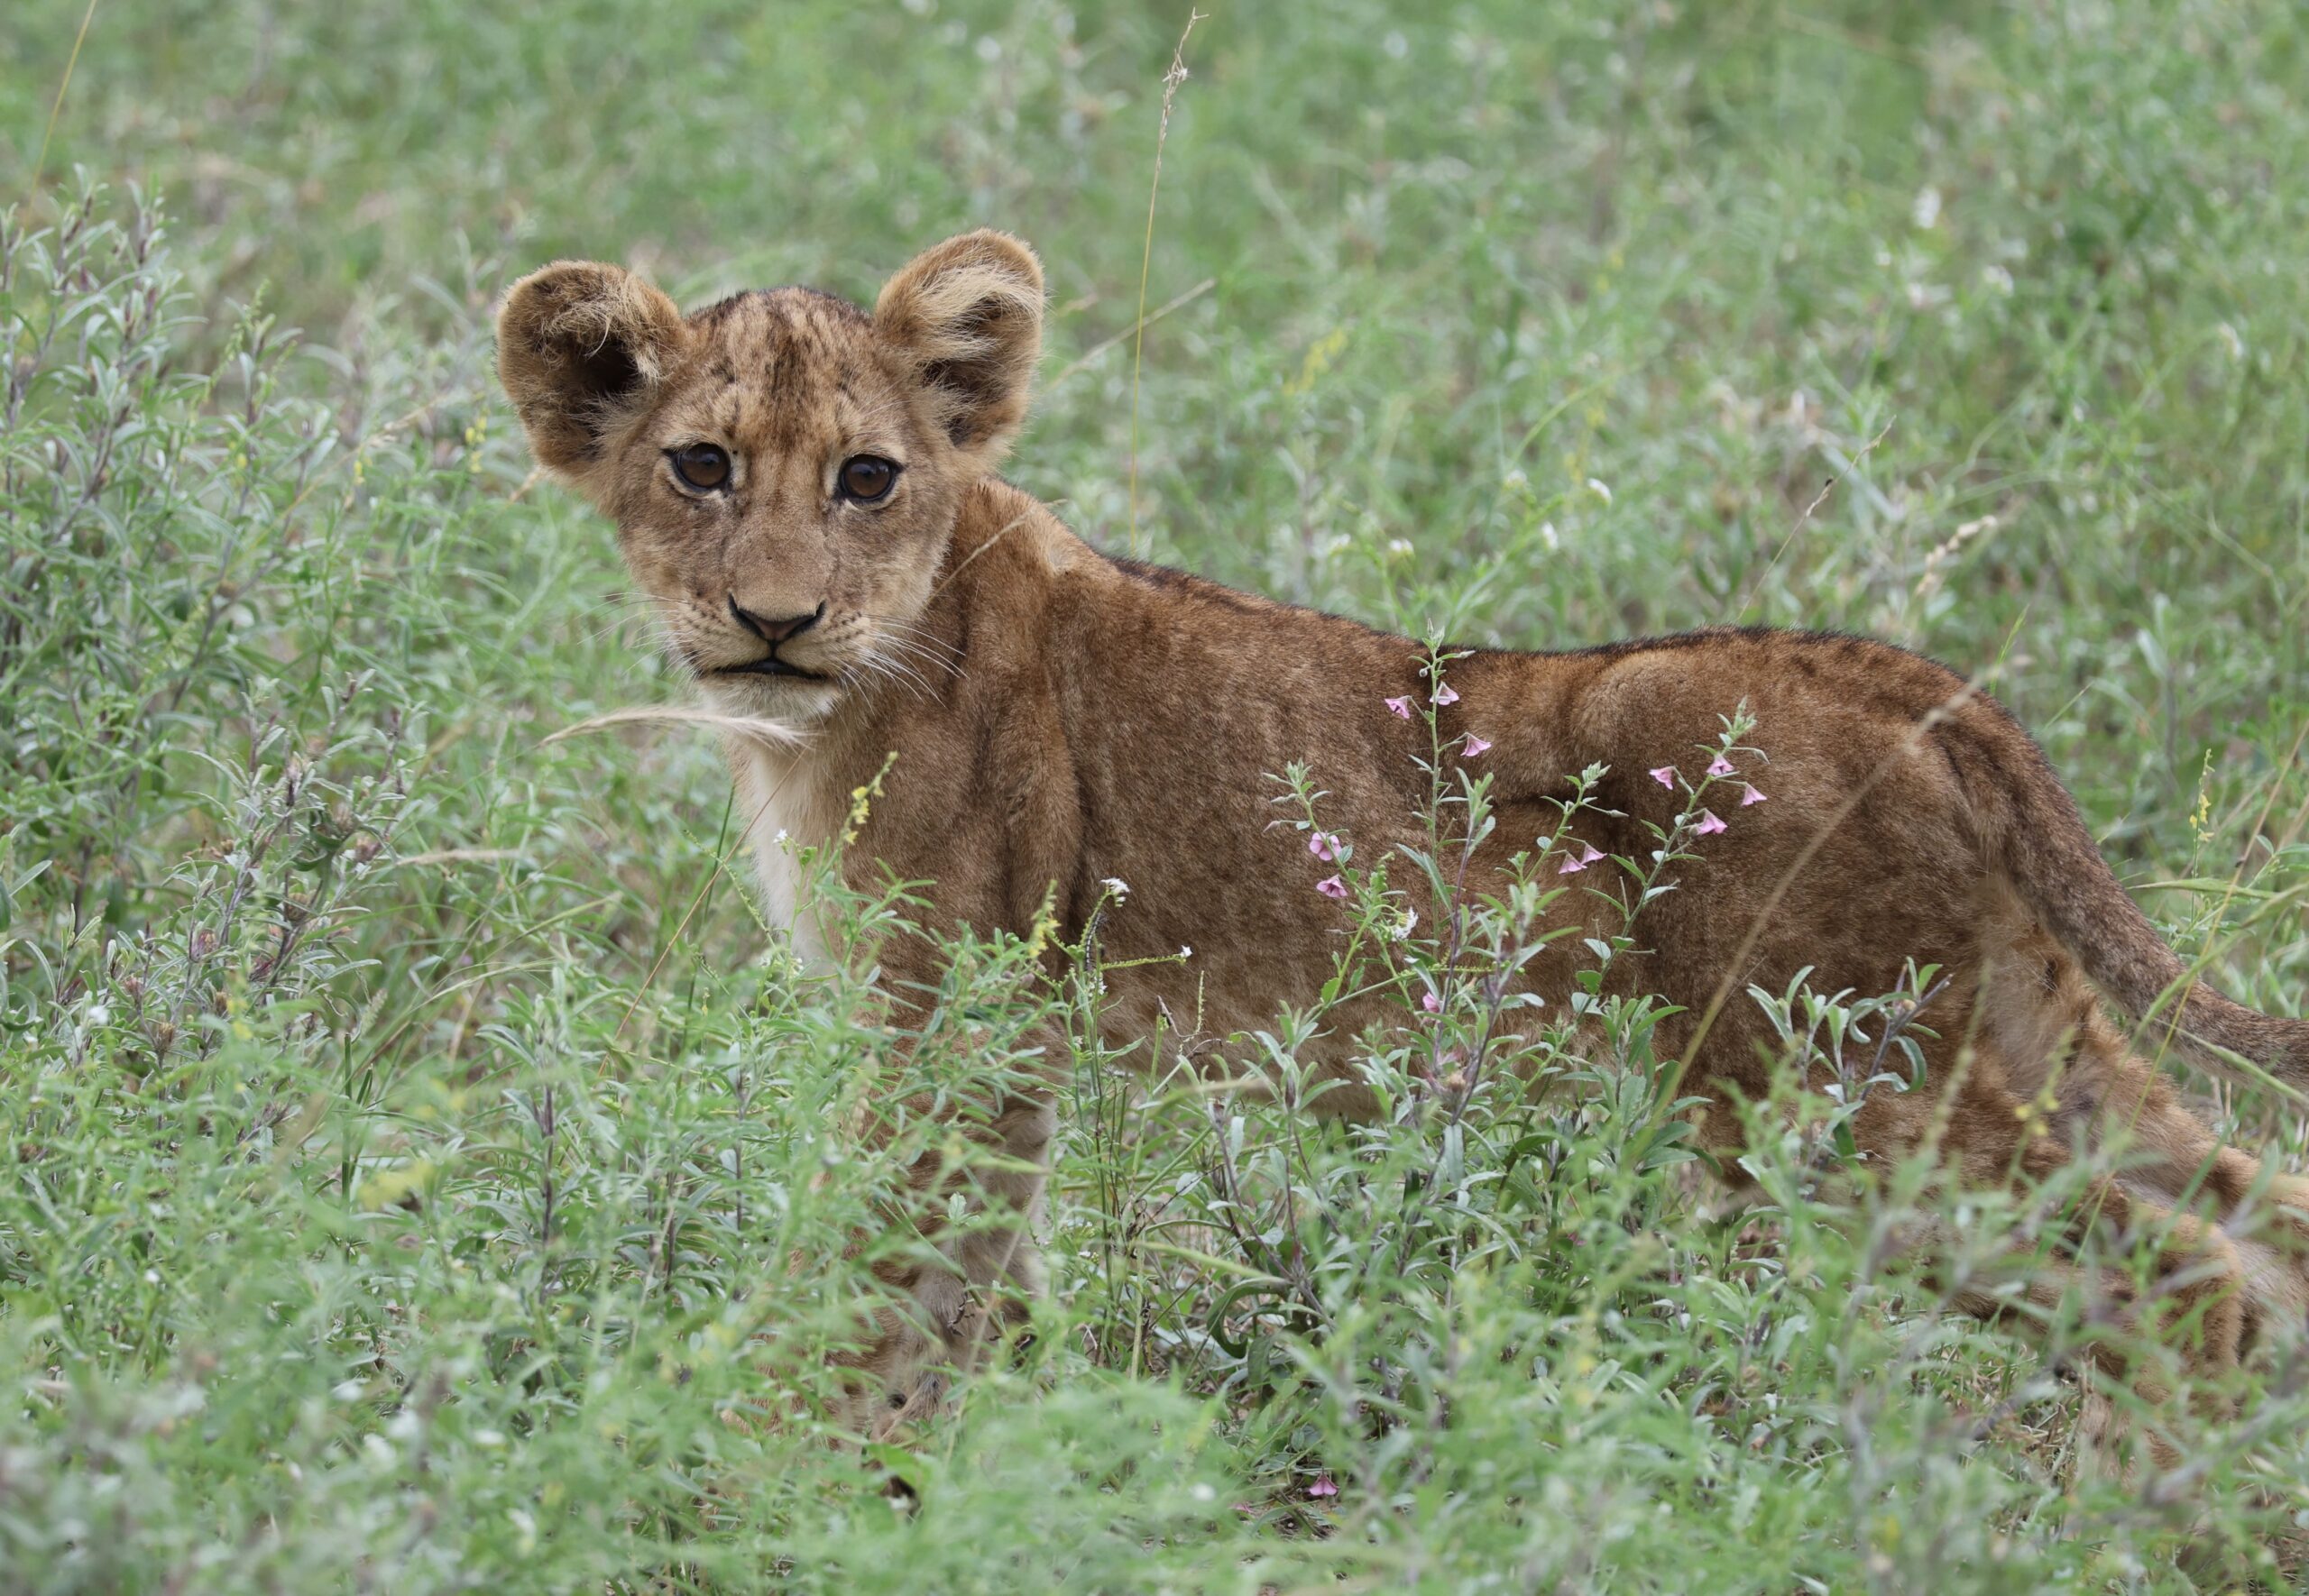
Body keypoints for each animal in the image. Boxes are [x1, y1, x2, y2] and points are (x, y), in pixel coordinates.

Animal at [497, 229, 2309, 1451]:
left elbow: (888, 1263)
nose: (776, 621)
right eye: (701, 465)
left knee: (2188, 1288)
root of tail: (1913, 686)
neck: (846, 701)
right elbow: (963, 1278)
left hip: (1835, 1095)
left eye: (868, 477)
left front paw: (787, 1460)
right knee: (2257, 1225)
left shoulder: (951, 1016)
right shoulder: (999, 1043)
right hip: (2006, 1027)